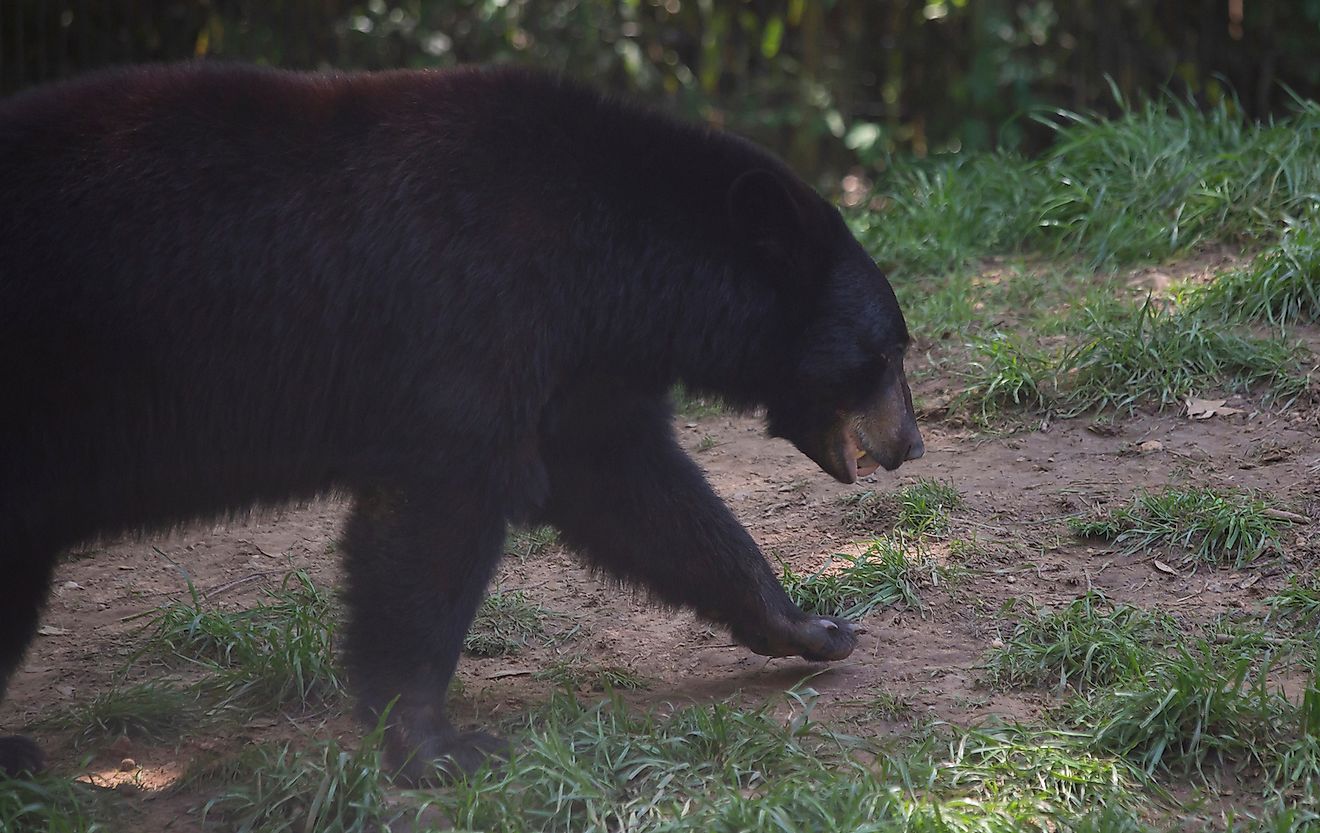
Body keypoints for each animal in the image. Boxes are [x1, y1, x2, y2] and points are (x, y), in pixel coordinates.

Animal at [0, 62, 924, 781]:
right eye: (884, 353)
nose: (911, 444)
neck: (608, 263)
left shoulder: (574, 364)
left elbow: (637, 489)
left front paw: (813, 625)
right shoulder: (468, 317)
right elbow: (441, 509)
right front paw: (436, 744)